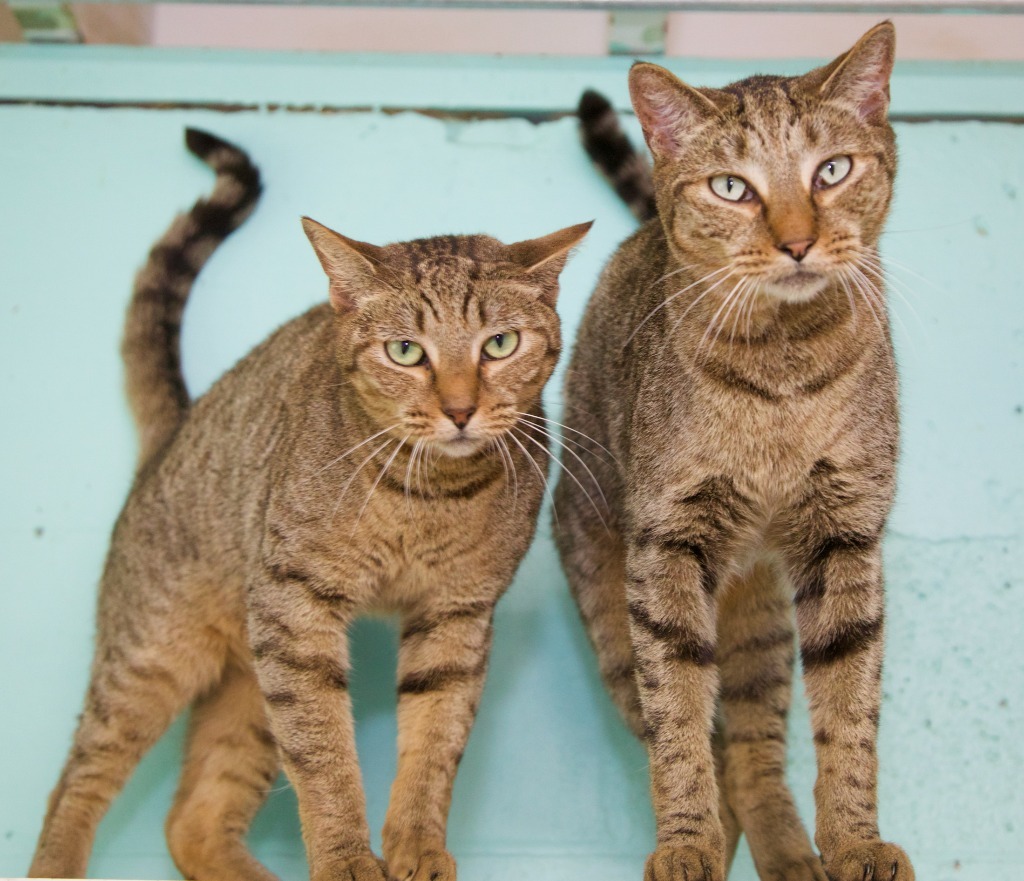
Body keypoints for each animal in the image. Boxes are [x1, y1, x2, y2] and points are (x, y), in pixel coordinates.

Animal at [28, 129, 593, 881]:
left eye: (500, 344)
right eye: (405, 351)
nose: (460, 409)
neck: (428, 495)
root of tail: (176, 429)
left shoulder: (456, 612)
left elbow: (435, 740)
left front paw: (416, 845)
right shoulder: (296, 609)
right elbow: (325, 754)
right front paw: (348, 857)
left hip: (250, 689)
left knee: (192, 820)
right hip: (154, 654)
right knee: (77, 780)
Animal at [557, 18, 917, 881]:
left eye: (832, 170)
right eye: (731, 187)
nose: (797, 241)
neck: (782, 374)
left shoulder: (847, 532)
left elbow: (849, 708)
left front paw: (855, 840)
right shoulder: (666, 544)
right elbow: (681, 719)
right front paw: (687, 841)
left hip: (761, 623)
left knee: (753, 747)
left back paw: (790, 851)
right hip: (608, 607)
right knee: (695, 731)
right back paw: (718, 838)